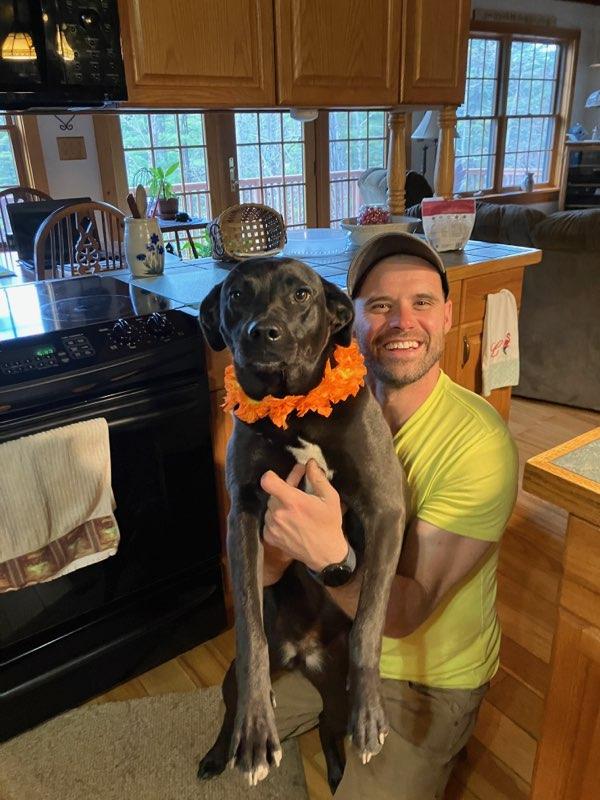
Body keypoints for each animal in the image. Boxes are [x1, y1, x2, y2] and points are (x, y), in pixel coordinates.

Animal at [199, 256, 406, 788]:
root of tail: (301, 654)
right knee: (230, 707)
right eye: (236, 294)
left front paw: (370, 713)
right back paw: (219, 753)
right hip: (234, 679)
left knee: (329, 729)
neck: (292, 414)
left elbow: (369, 621)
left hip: (333, 691)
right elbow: (248, 627)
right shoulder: (243, 516)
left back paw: (336, 768)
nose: (262, 333)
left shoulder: (386, 508)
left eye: (301, 294)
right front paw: (255, 736)